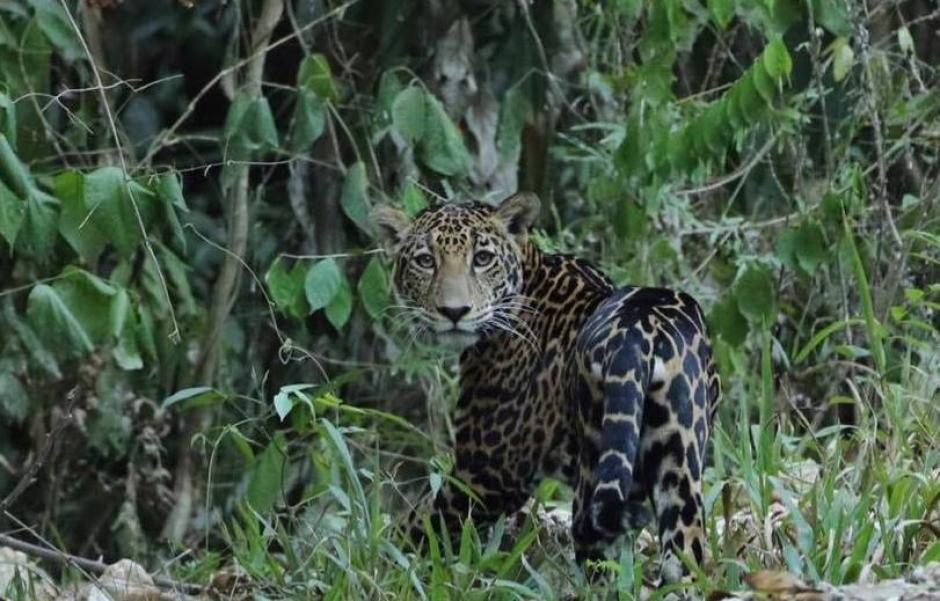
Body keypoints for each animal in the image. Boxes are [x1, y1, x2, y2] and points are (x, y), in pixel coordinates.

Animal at [371, 192, 720, 591]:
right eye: (426, 261)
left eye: (482, 258)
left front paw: (381, 564)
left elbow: (417, 526)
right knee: (686, 559)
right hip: (679, 464)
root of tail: (640, 332)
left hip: (591, 478)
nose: (454, 311)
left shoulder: (485, 472)